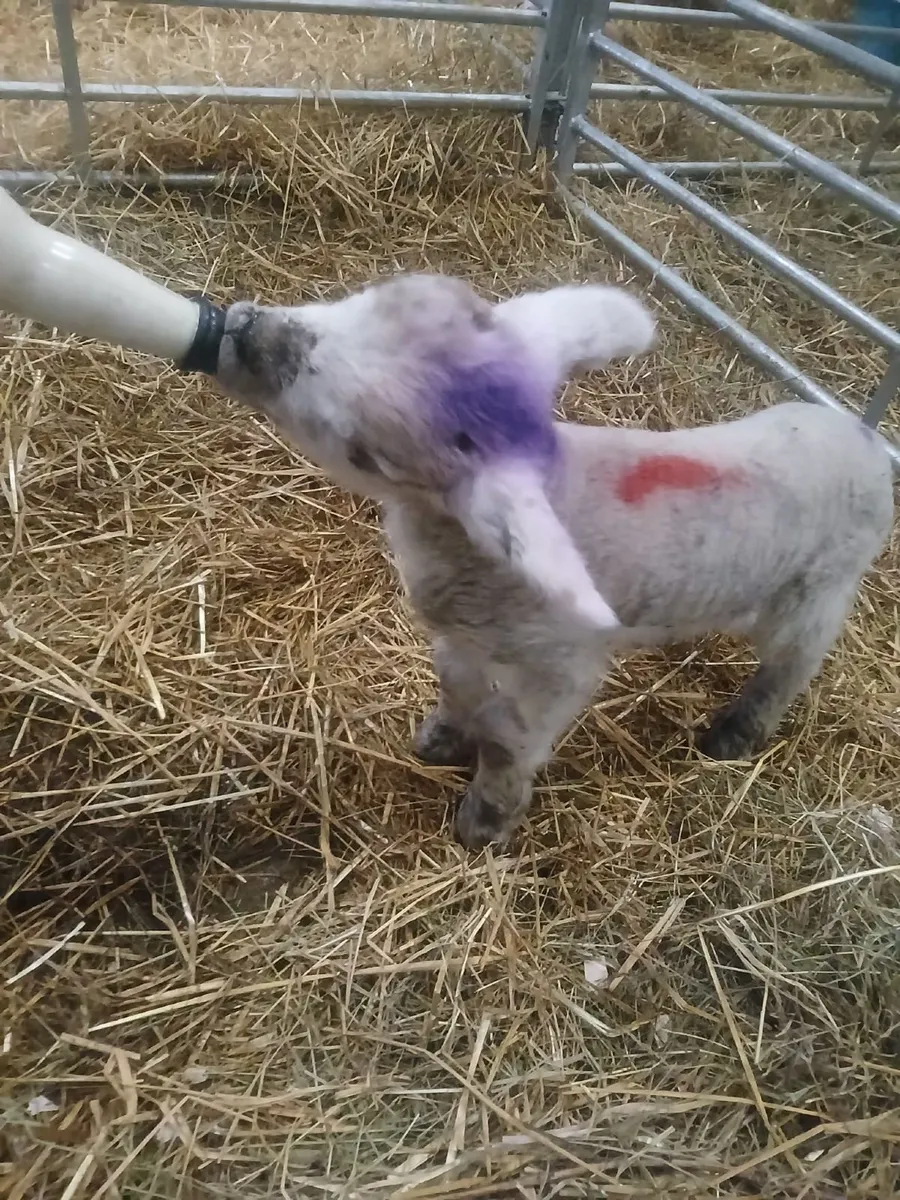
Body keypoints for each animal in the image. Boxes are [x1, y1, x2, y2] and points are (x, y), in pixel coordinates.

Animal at [214, 272, 895, 850]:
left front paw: (485, 823)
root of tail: (866, 442)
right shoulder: (461, 635)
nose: (245, 332)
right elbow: (456, 687)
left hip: (822, 587)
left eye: (366, 453)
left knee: (791, 665)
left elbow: (507, 741)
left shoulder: (561, 665)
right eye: (368, 296)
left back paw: (736, 733)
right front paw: (441, 739)